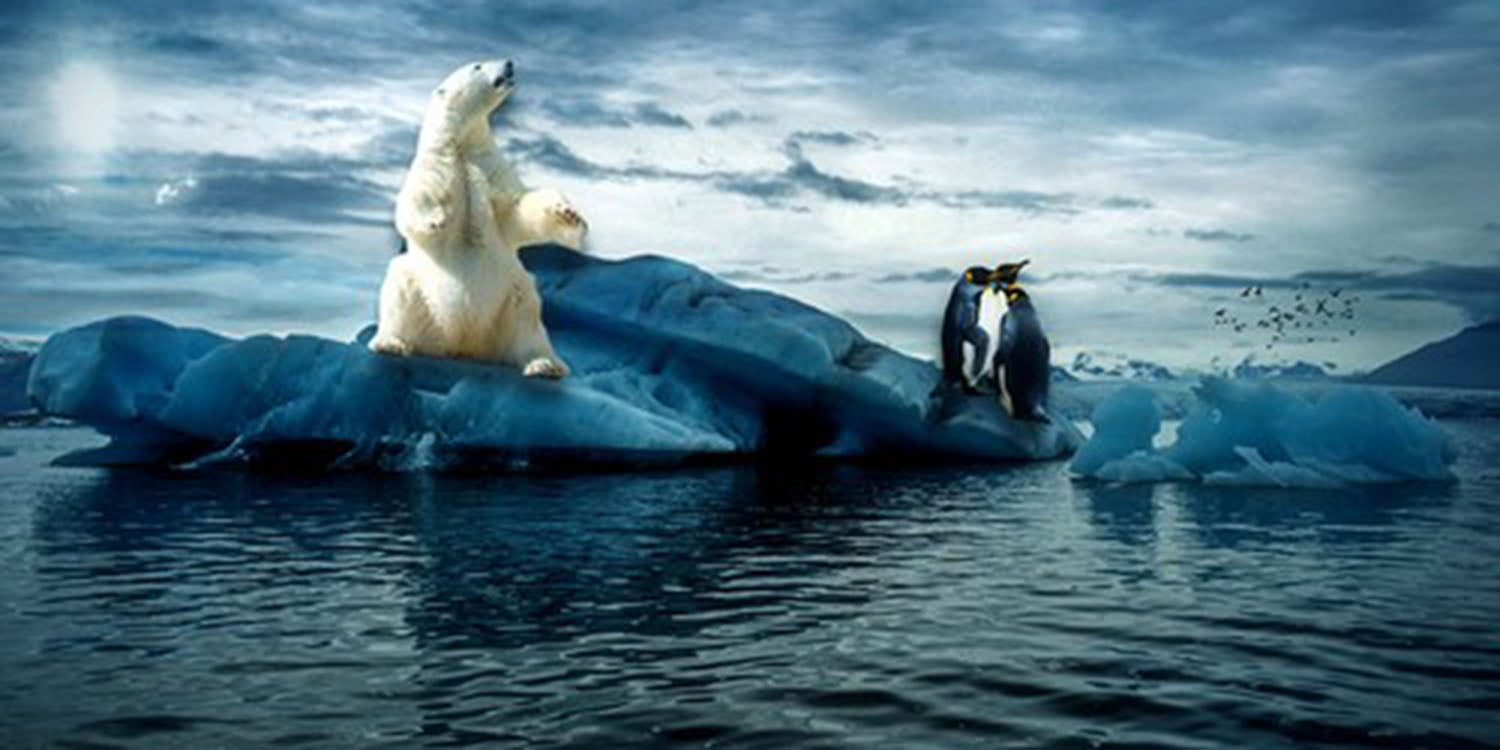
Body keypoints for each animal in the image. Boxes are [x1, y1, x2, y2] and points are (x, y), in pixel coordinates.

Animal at [368, 59, 587, 378]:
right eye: (477, 66)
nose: (509, 63)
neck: (463, 143)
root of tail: (463, 345)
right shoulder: (435, 164)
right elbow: (414, 200)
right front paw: (434, 219)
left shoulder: (490, 166)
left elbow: (516, 210)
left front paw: (569, 214)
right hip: (420, 291)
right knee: (398, 288)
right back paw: (390, 343)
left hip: (510, 295)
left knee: (528, 319)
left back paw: (544, 364)